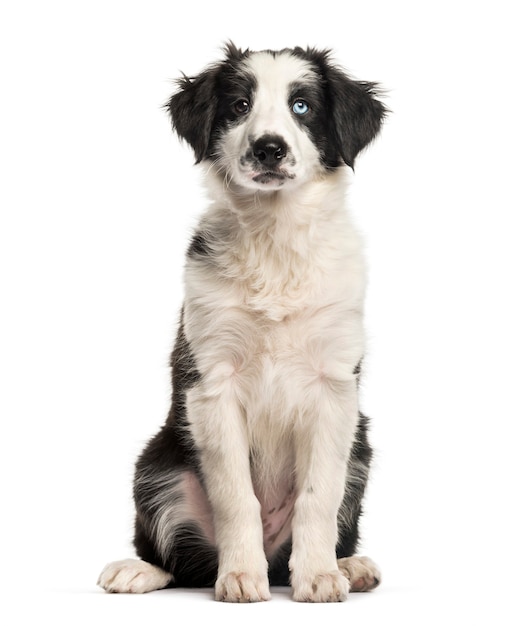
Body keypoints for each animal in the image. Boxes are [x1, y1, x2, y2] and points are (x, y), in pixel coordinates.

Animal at [97, 42, 384, 600]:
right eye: (239, 106)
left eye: (302, 107)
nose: (269, 148)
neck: (275, 236)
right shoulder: (211, 382)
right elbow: (235, 495)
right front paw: (239, 575)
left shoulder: (334, 387)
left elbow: (318, 494)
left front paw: (319, 575)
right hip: (158, 465)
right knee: (179, 557)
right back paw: (142, 569)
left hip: (360, 449)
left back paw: (348, 565)